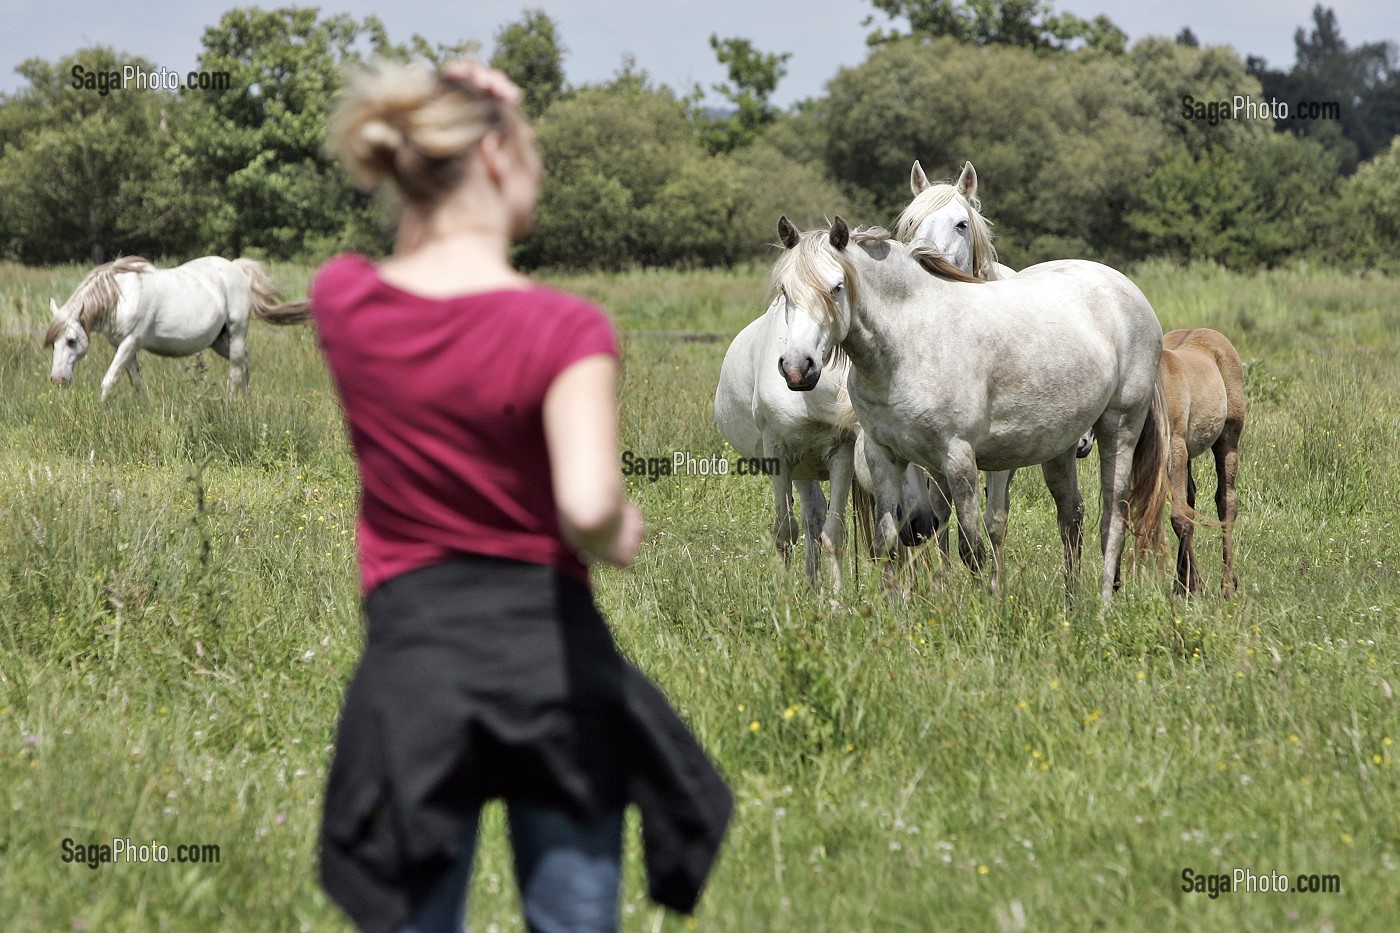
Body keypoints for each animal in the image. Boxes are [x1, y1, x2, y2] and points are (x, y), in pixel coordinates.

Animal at [44, 256, 309, 397]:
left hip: (236, 332)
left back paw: (232, 404)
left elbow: (109, 379)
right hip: (220, 341)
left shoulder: (131, 342)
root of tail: (236, 268)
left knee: (235, 371)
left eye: (71, 340)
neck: (121, 296)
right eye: (53, 344)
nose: (57, 380)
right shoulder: (121, 346)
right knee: (244, 364)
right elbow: (136, 382)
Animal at [778, 215, 1170, 596]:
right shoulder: (883, 456)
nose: (798, 367)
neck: (910, 341)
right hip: (1060, 446)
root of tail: (1126, 289)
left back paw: (1103, 604)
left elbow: (972, 549)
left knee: (1113, 519)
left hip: (1119, 427)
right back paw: (1072, 604)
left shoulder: (959, 458)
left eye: (836, 287)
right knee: (1071, 518)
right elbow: (888, 542)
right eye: (784, 290)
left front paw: (984, 608)